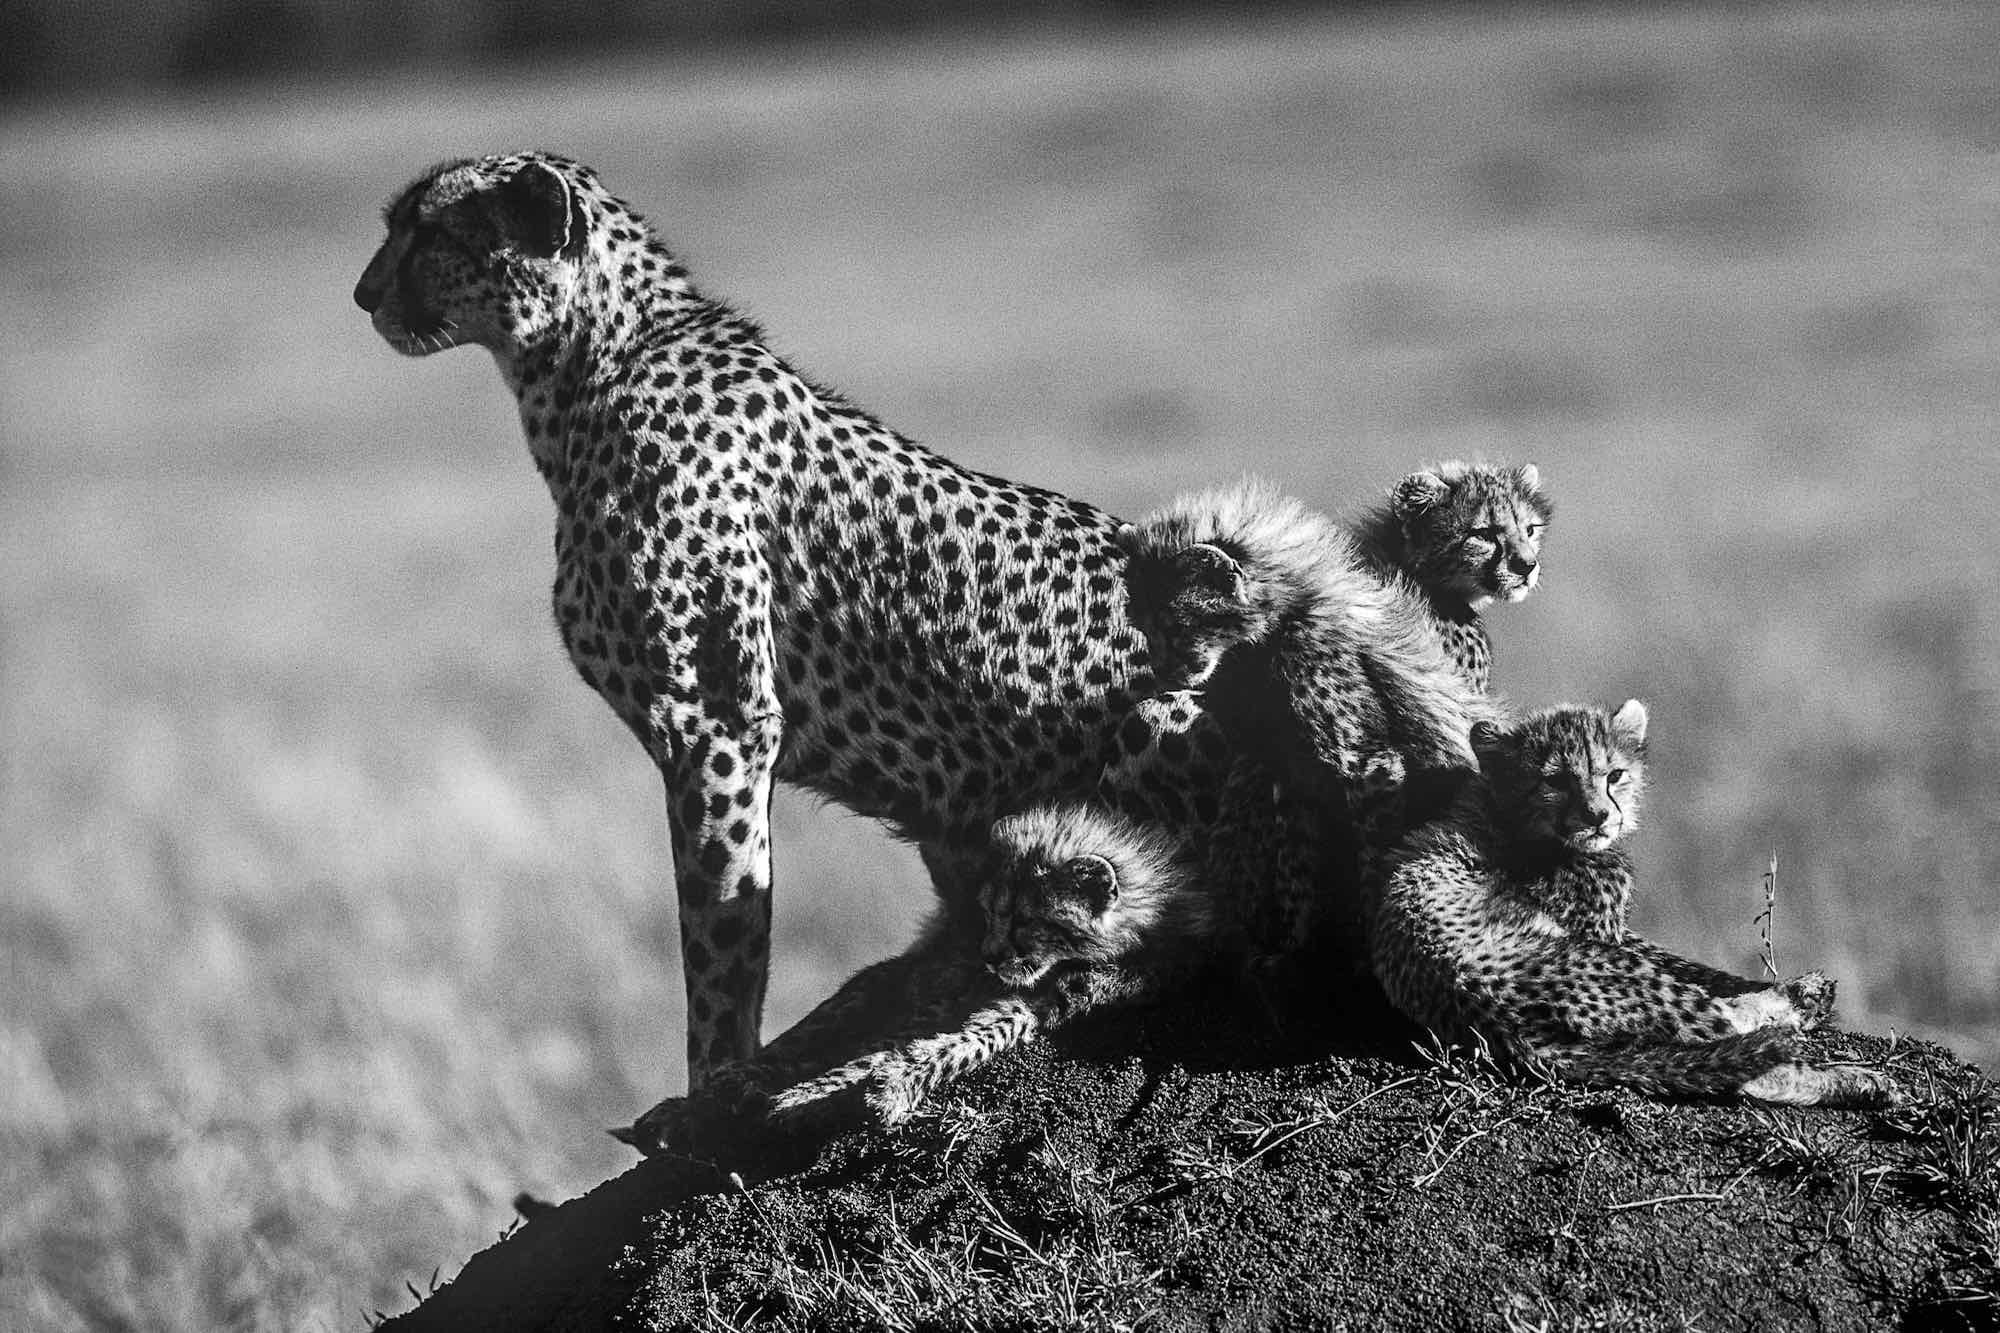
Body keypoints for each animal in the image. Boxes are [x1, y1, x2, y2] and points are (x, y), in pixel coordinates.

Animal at [358, 150, 1176, 1120]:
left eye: (430, 233)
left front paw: (713, 1087)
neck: (592, 364)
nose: (364, 293)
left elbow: (723, 927)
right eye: (396, 227)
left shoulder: (717, 724)